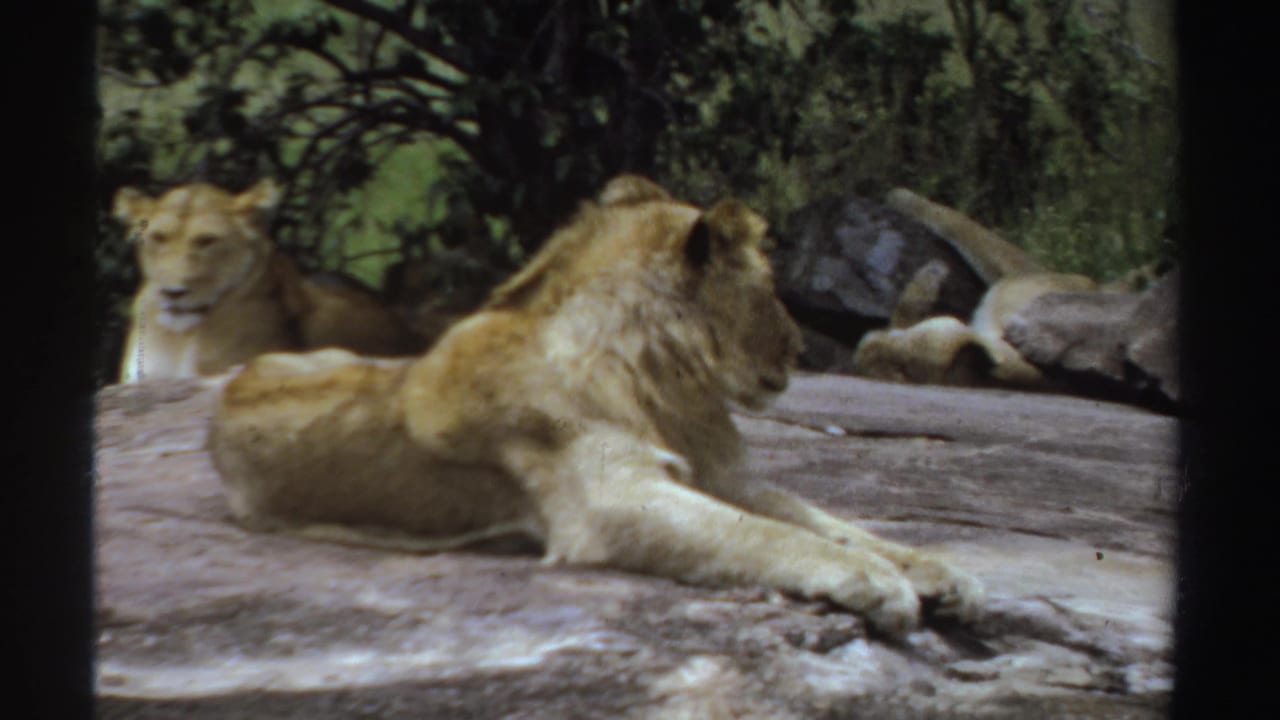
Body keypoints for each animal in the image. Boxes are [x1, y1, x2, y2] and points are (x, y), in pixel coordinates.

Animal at [207, 175, 984, 638]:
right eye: (770, 290)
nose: (799, 349)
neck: (663, 380)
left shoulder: (724, 476)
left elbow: (830, 522)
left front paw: (940, 572)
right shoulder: (611, 500)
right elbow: (771, 537)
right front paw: (879, 584)